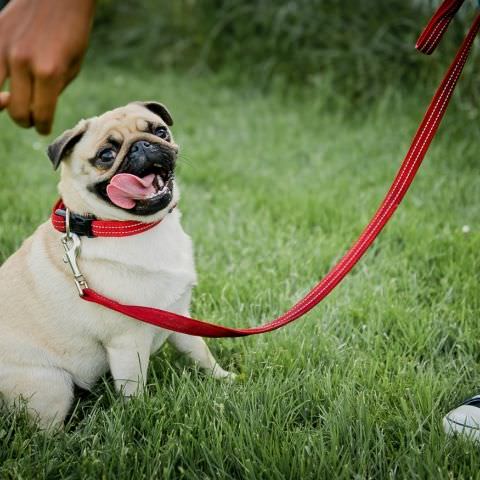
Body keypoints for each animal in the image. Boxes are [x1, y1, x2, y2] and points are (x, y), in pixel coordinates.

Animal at [0, 101, 234, 428]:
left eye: (160, 131)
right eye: (106, 156)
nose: (143, 145)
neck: (128, 227)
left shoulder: (178, 316)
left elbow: (201, 352)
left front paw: (224, 379)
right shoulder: (127, 343)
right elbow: (134, 389)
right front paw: (141, 418)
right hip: (50, 386)